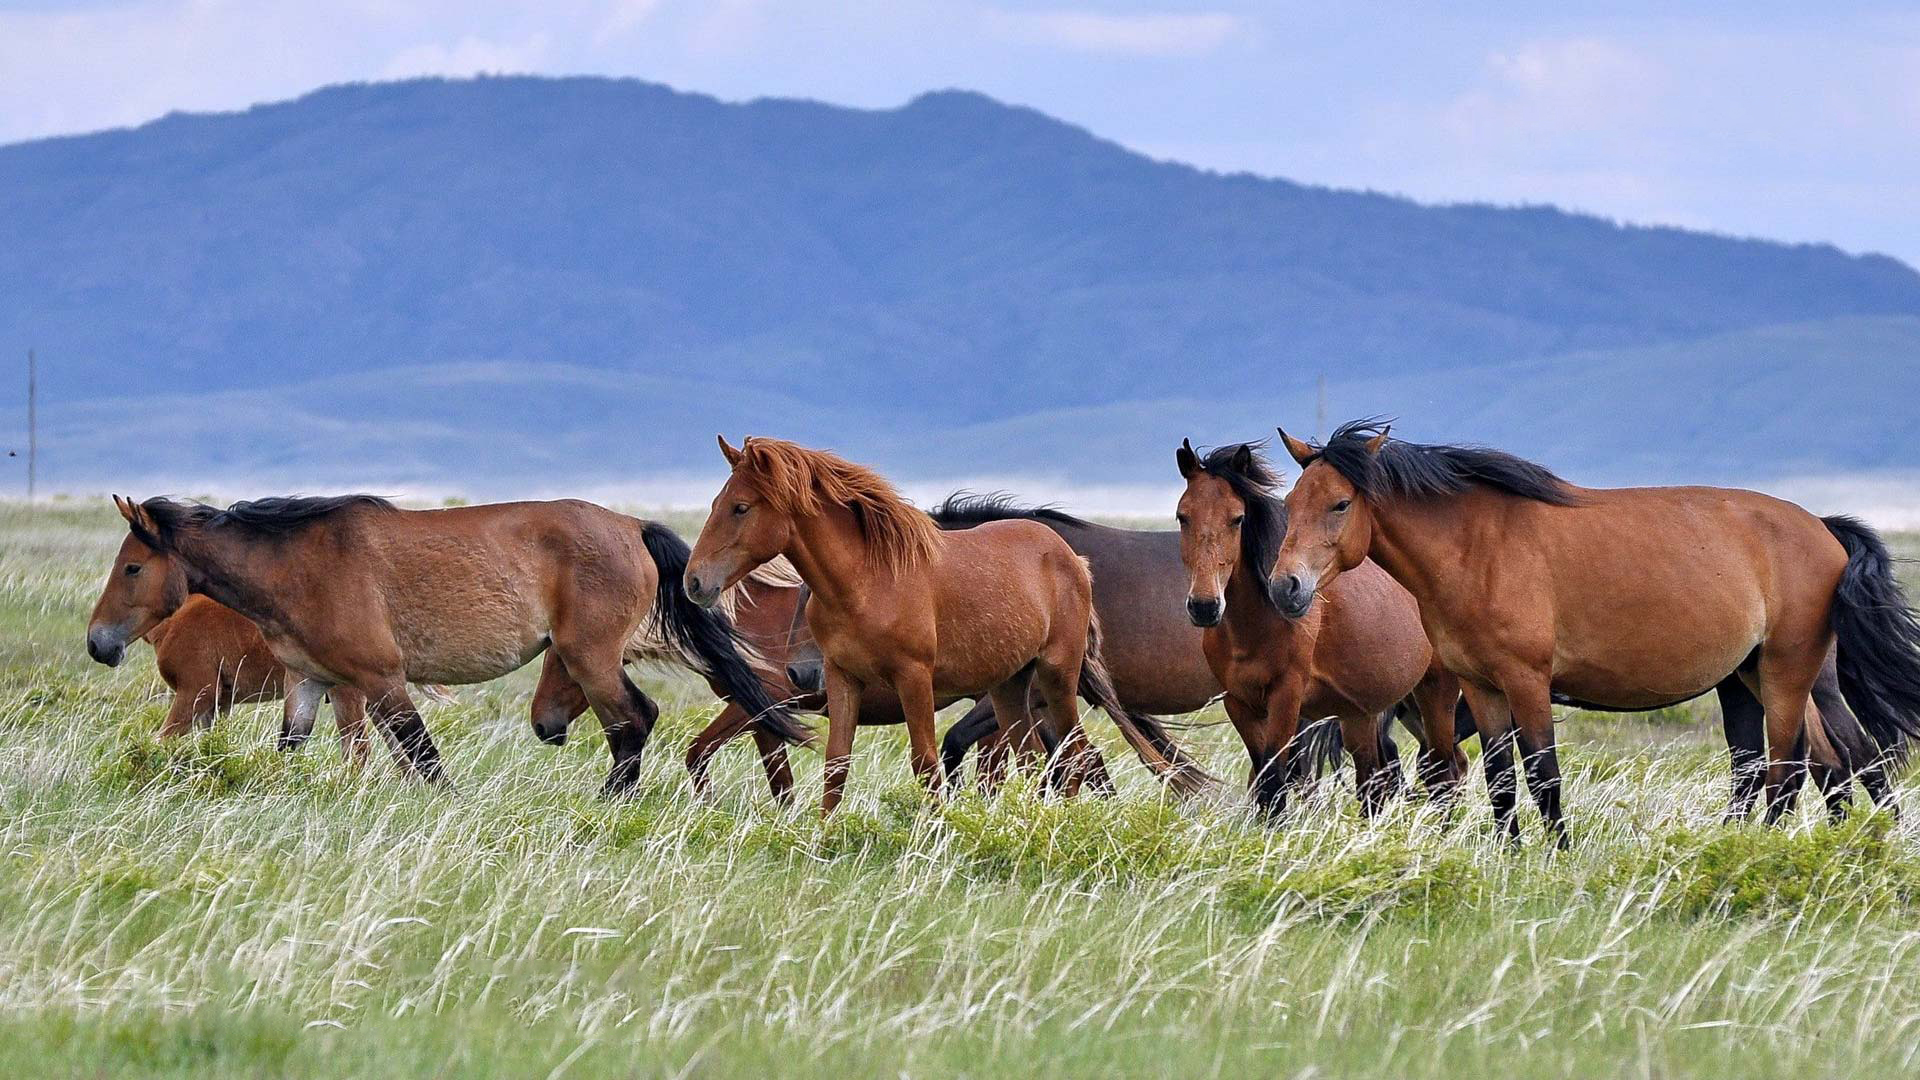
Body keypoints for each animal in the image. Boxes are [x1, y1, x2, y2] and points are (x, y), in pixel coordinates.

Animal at [87, 532, 369, 757]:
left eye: (132, 568)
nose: (95, 644)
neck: (180, 617)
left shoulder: (195, 692)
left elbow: (160, 741)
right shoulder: (219, 704)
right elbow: (211, 744)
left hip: (346, 694)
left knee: (358, 752)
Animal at [683, 436, 1201, 815]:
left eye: (741, 507)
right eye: (715, 503)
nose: (695, 581)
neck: (870, 582)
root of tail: (1070, 557)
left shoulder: (913, 679)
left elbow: (926, 764)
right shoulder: (841, 679)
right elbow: (835, 764)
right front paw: (823, 838)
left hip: (1056, 677)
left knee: (1074, 757)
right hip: (1010, 686)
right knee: (1036, 759)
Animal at [1175, 440, 1464, 816]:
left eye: (1237, 519)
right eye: (1183, 516)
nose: (1205, 606)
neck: (1253, 628)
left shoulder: (1286, 699)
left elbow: (1273, 780)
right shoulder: (1239, 703)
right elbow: (1262, 775)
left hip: (1434, 693)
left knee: (1444, 771)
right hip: (1366, 713)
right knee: (1377, 779)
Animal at [1270, 420, 1920, 845]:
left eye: (1340, 504)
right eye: (1292, 502)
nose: (1285, 588)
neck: (1477, 549)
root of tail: (1824, 529)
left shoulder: (1526, 682)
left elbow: (1543, 777)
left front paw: (1556, 857)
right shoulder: (1481, 687)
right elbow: (1499, 781)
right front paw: (1507, 857)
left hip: (1787, 673)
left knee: (1792, 771)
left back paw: (1759, 851)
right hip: (1754, 674)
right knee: (1822, 763)